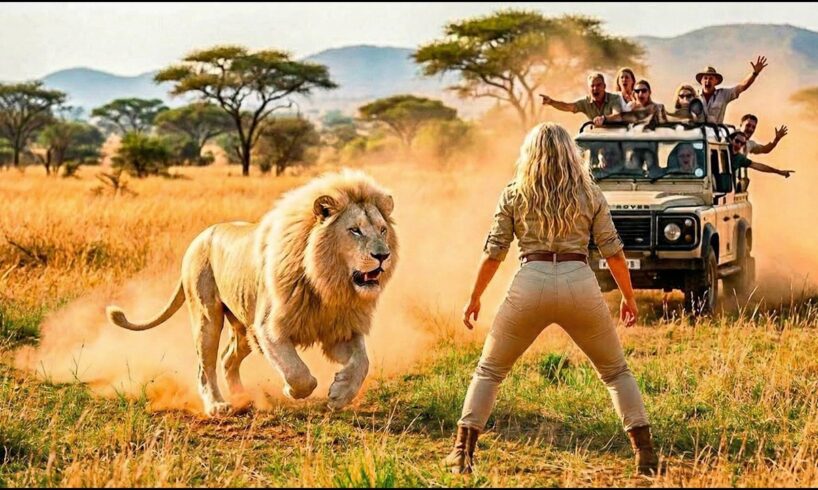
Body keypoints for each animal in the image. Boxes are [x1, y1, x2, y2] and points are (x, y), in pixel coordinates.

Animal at [106, 169, 398, 416]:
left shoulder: (340, 329)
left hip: (244, 328)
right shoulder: (269, 328)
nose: (383, 256)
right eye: (355, 230)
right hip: (208, 317)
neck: (328, 283)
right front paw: (293, 390)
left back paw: (242, 397)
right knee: (205, 366)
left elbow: (362, 362)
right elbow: (297, 372)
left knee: (227, 359)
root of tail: (198, 239)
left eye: (383, 230)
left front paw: (340, 393)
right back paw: (217, 405)